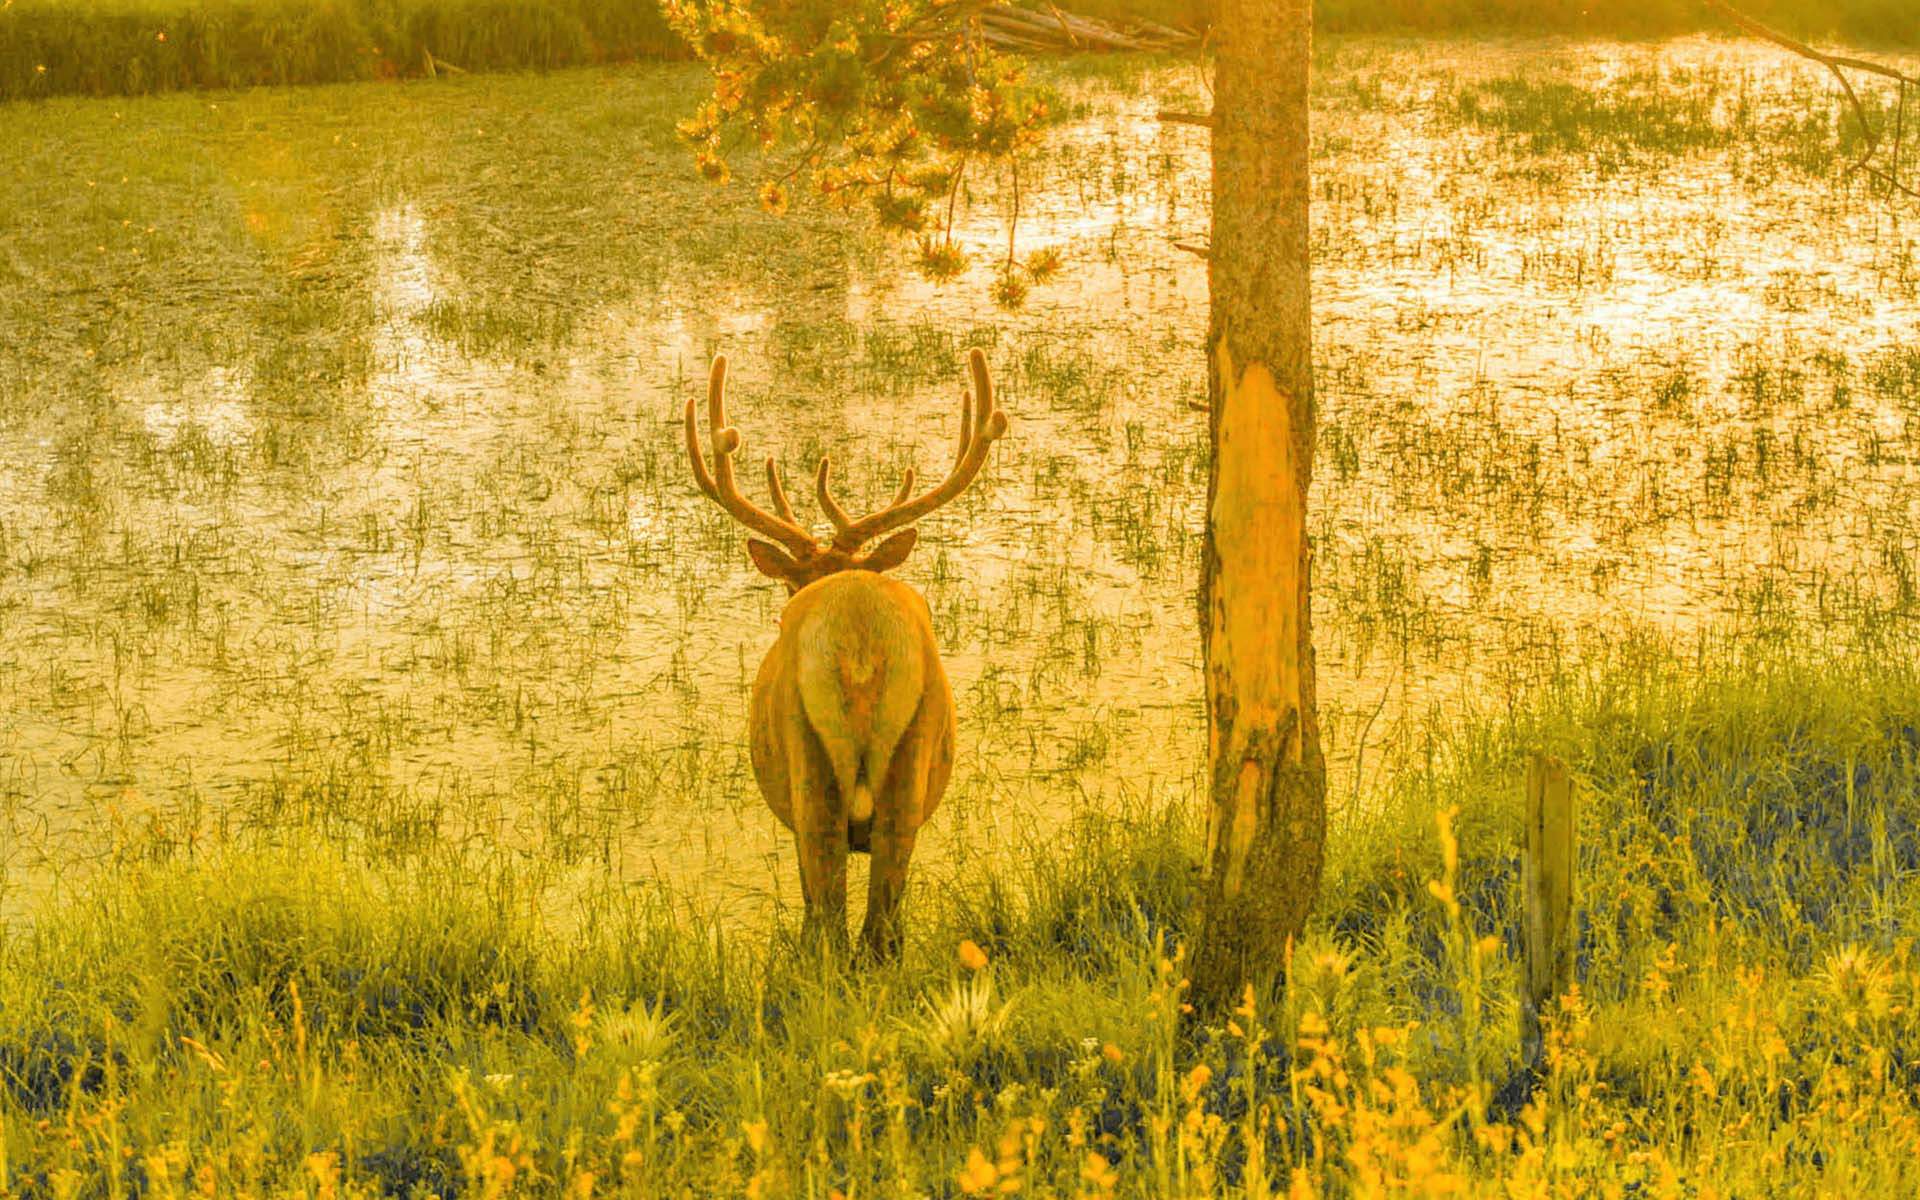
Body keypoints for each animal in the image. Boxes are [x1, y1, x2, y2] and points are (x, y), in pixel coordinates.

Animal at [684, 348, 1008, 959]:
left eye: (788, 588)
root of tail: (860, 644)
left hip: (810, 769)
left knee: (830, 922)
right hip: (911, 760)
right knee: (881, 928)